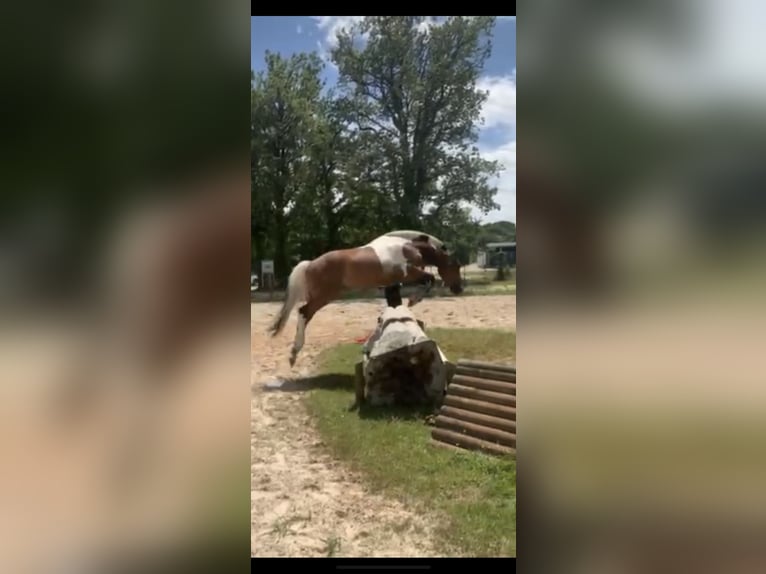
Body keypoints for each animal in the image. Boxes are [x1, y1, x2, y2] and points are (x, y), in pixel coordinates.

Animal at [268, 234, 464, 368]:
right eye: (455, 265)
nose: (459, 289)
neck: (408, 248)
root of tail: (310, 264)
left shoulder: (393, 284)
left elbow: (398, 301)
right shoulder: (409, 273)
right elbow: (430, 279)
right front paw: (414, 300)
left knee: (304, 314)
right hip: (324, 296)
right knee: (304, 313)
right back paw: (294, 352)